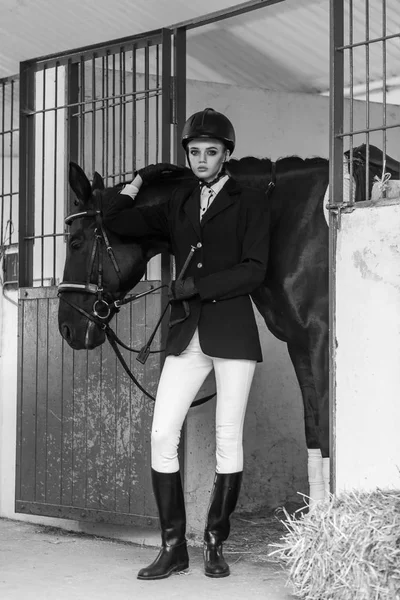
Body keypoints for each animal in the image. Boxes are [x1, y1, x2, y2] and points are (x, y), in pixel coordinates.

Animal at [58, 145, 400, 502]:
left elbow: (327, 426)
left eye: (76, 242)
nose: (66, 326)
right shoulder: (299, 343)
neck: (287, 219)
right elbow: (313, 428)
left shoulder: (322, 340)